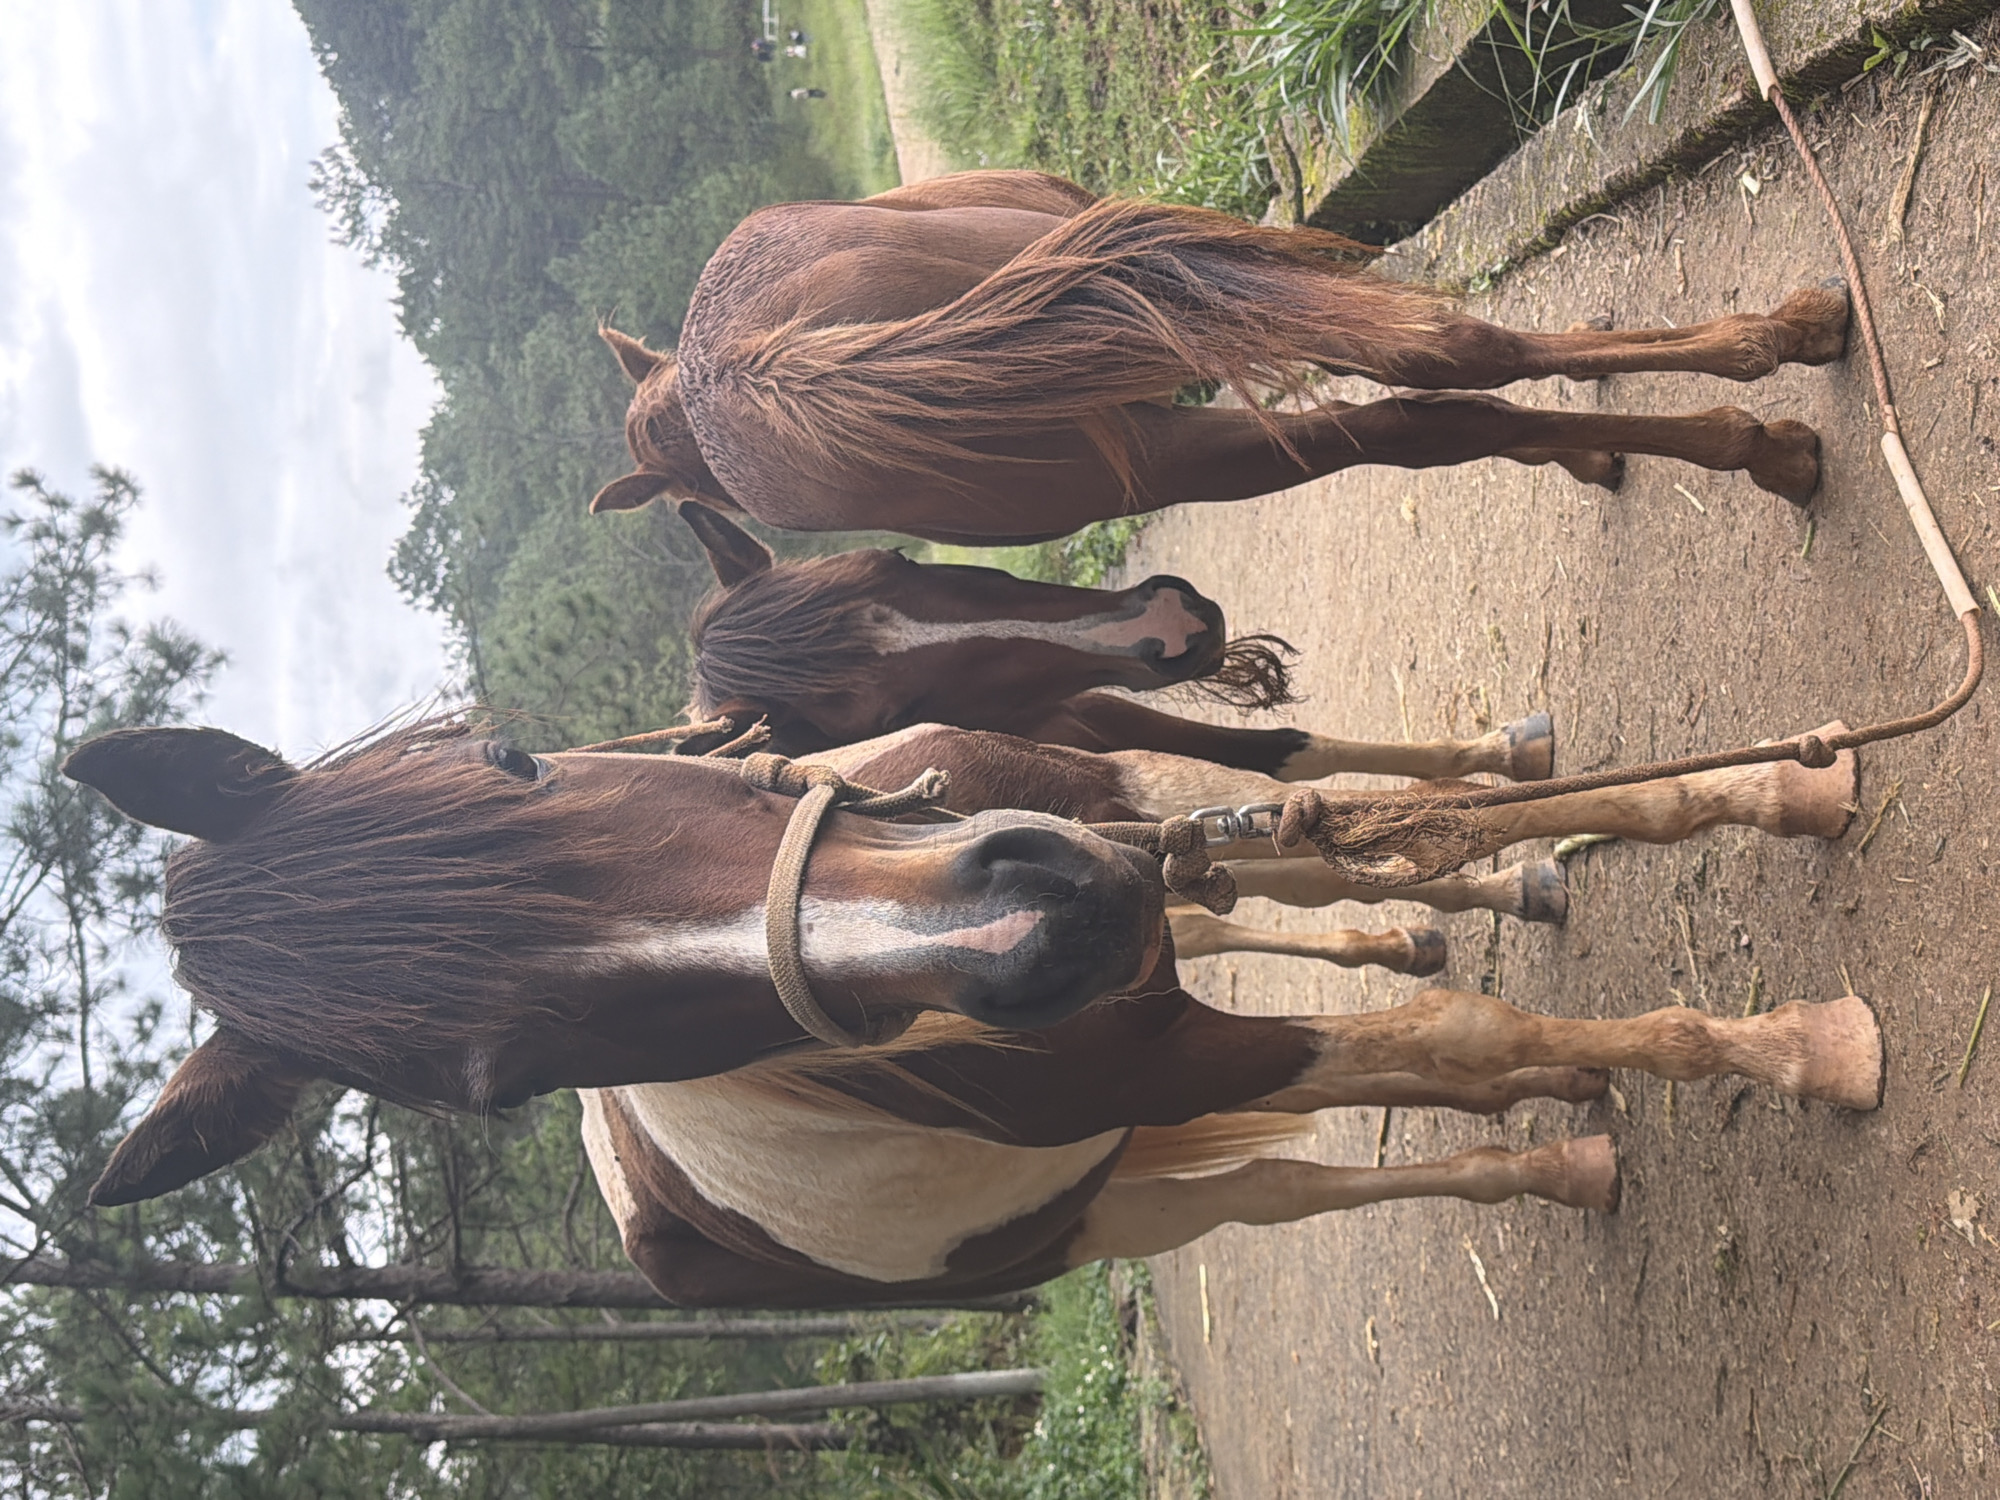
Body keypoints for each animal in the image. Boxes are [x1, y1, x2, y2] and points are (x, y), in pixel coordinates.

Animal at [64, 718, 1877, 1313]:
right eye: (496, 1081)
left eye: (513, 759)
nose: (1041, 930)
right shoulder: (1187, 1044)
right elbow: (1472, 1052)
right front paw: (1797, 1049)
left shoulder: (1117, 807)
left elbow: (1353, 824)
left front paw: (1789, 789)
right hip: (1115, 1204)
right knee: (1306, 1181)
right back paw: (1558, 1168)